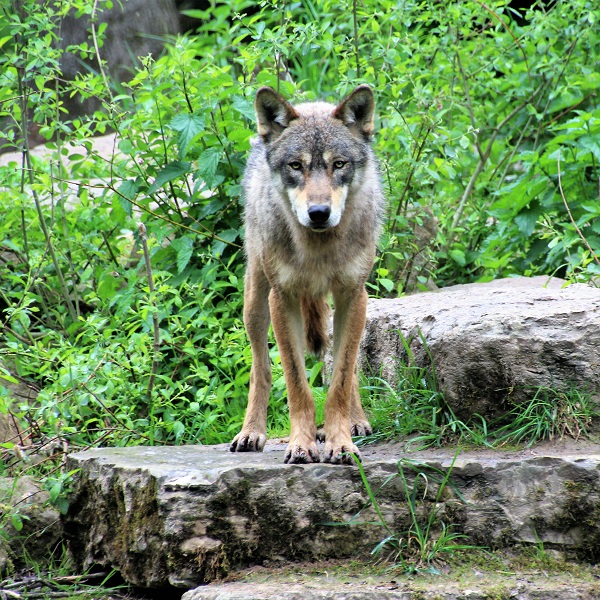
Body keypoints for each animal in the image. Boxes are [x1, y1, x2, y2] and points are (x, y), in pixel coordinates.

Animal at [230, 84, 384, 466]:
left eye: (339, 164)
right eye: (296, 166)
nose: (318, 213)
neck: (319, 251)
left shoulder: (353, 296)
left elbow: (341, 378)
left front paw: (340, 443)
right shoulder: (281, 298)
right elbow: (296, 383)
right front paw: (302, 445)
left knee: (350, 368)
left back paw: (355, 422)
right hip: (255, 303)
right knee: (260, 369)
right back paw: (251, 433)